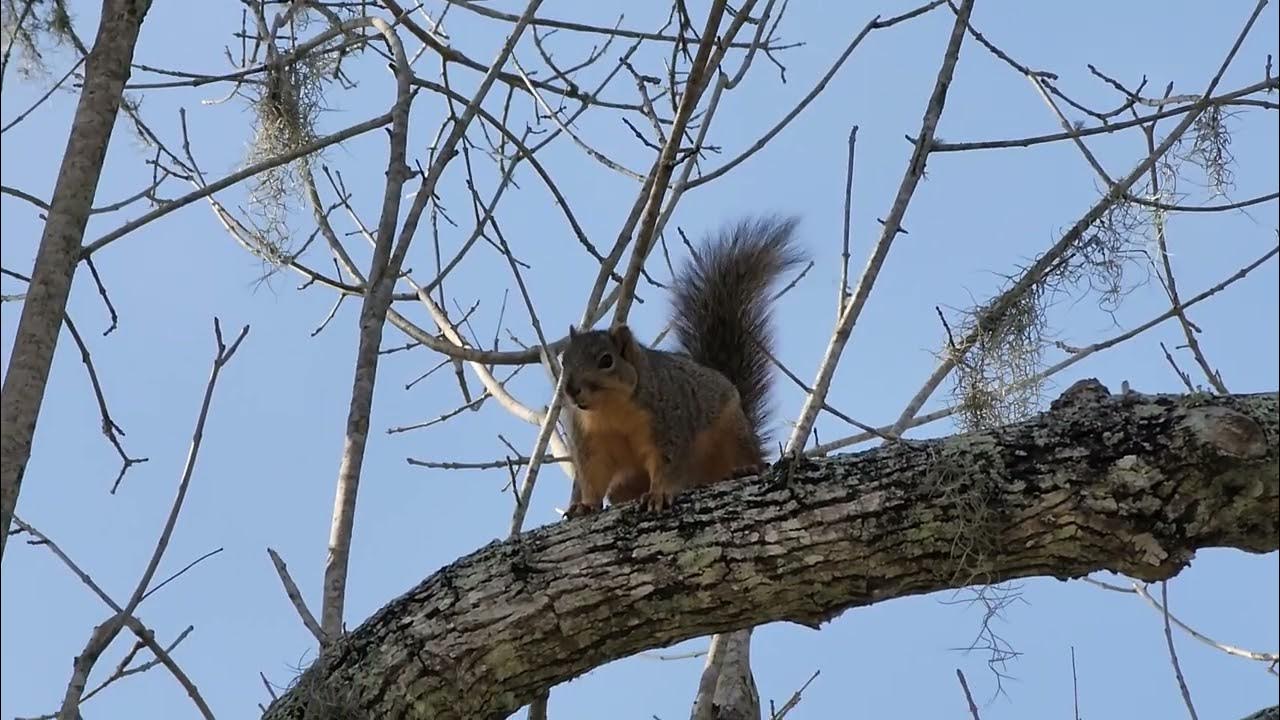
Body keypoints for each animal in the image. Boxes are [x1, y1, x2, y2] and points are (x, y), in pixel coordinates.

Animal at [560, 215, 804, 516]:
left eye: (607, 360)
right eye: (564, 361)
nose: (571, 390)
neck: (611, 411)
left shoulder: (670, 423)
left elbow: (666, 464)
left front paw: (658, 494)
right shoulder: (591, 442)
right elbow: (593, 477)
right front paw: (585, 505)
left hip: (732, 432)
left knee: (748, 456)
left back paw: (746, 468)